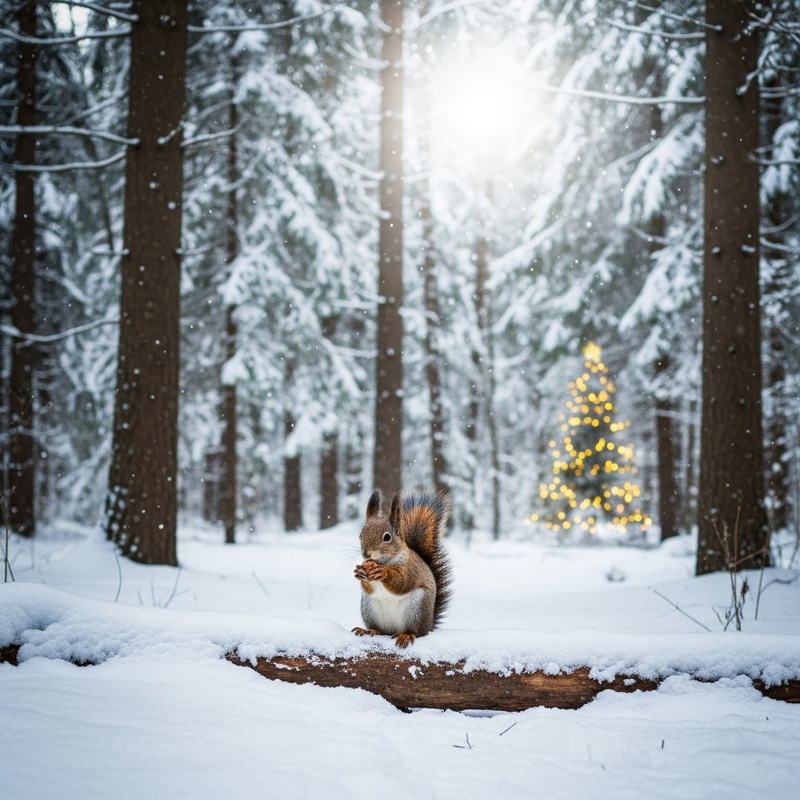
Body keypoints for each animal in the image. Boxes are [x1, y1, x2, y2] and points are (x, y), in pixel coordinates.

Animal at [352, 487, 452, 648]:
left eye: (387, 537)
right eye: (360, 535)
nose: (366, 554)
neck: (384, 561)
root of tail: (429, 625)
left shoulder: (410, 569)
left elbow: (402, 582)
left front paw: (384, 573)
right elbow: (368, 587)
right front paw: (359, 572)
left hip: (416, 608)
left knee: (416, 632)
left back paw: (406, 635)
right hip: (369, 609)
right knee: (380, 629)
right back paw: (369, 630)